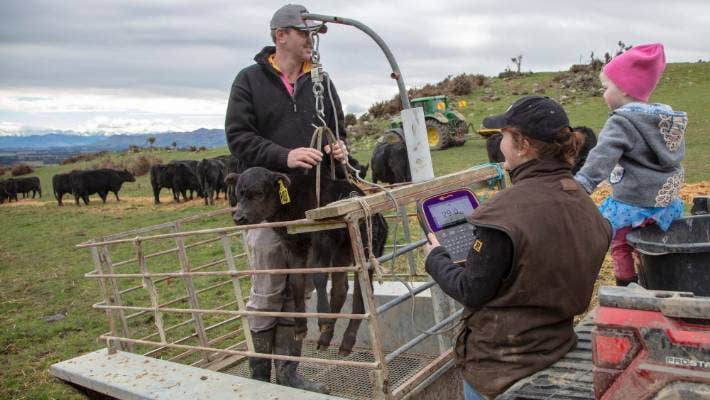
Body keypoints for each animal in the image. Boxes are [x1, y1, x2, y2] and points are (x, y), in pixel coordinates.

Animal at [227, 166, 390, 356]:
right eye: (238, 194)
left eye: (259, 193)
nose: (239, 218)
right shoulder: (293, 246)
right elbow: (297, 282)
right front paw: (299, 328)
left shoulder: (322, 239)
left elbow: (318, 277)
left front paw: (323, 319)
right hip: (341, 253)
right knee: (340, 290)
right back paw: (325, 338)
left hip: (365, 251)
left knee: (361, 294)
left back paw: (346, 342)